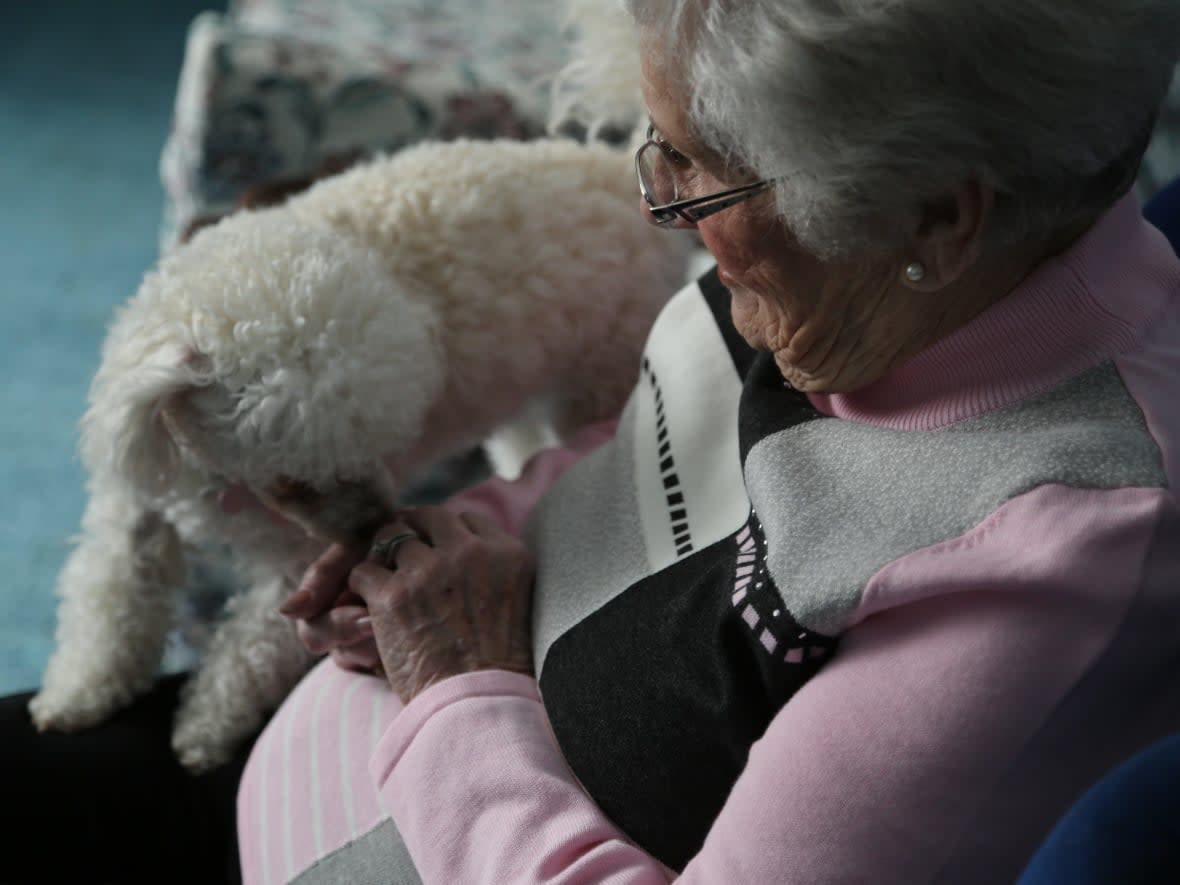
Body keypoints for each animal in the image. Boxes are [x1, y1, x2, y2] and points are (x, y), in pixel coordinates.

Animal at [32, 136, 689, 769]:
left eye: (378, 446)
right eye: (295, 479)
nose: (375, 524)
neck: (220, 479)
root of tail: (606, 167)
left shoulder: (296, 565)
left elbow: (249, 650)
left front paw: (206, 727)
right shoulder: (136, 506)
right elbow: (109, 600)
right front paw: (76, 694)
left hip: (596, 379)